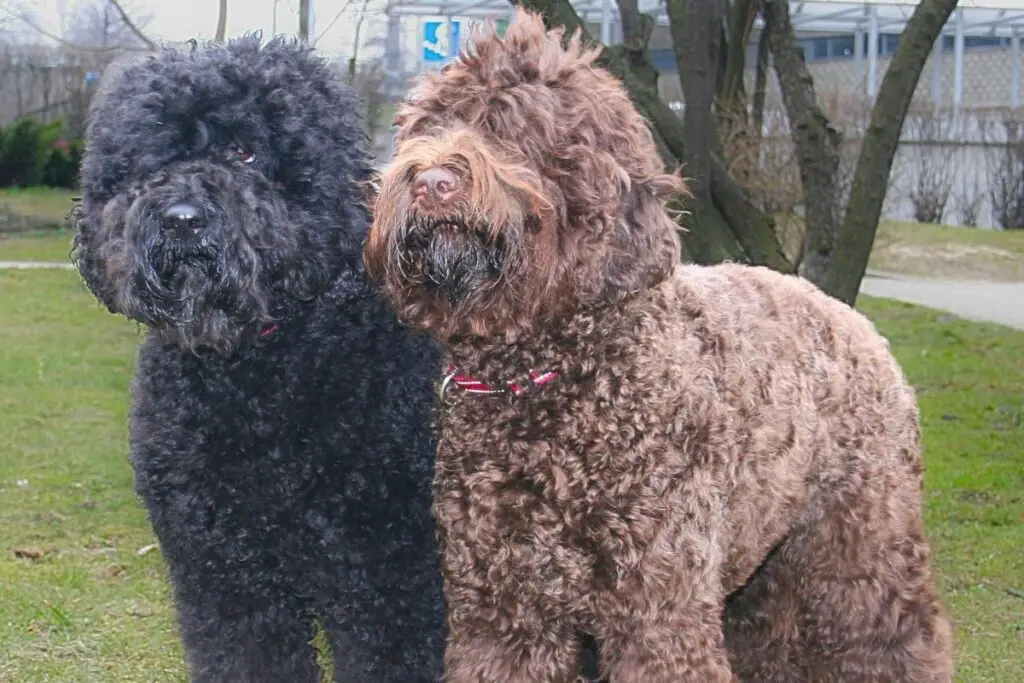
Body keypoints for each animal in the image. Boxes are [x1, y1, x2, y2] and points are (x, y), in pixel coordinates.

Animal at [68, 34, 444, 679]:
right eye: (156, 160)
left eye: (245, 152)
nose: (183, 220)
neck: (255, 373)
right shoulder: (225, 569)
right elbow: (247, 653)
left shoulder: (388, 572)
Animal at [366, 10, 950, 683]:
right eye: (426, 128)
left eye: (517, 131)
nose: (431, 181)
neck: (553, 377)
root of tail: (850, 316)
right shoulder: (504, 612)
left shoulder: (658, 608)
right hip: (763, 573)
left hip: (860, 547)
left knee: (898, 636)